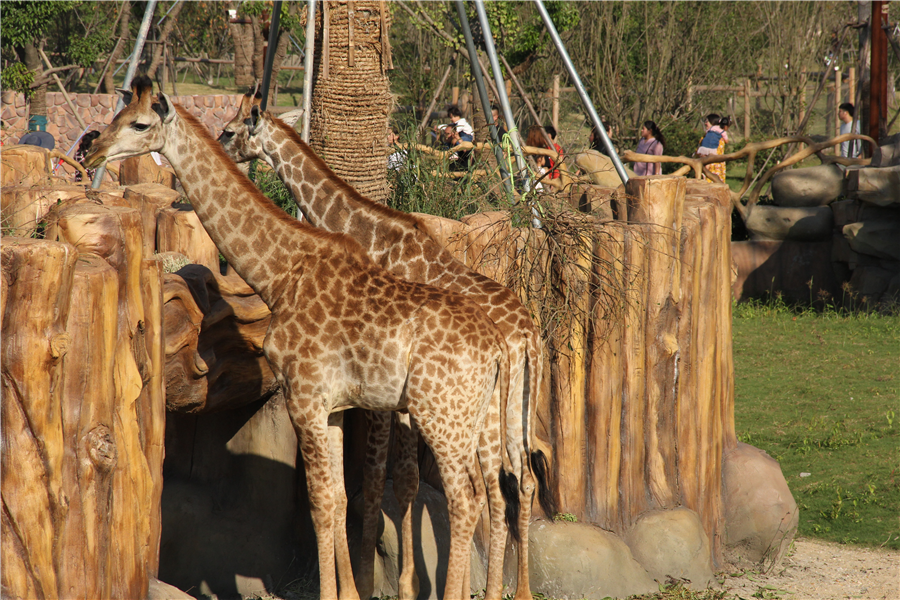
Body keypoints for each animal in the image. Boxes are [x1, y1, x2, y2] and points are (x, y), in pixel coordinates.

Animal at [86, 76, 512, 600]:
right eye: (116, 116)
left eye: (140, 124)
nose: (91, 149)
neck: (278, 272)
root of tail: (497, 348)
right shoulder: (332, 407)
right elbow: (339, 497)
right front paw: (350, 593)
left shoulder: (304, 398)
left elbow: (320, 504)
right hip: (471, 418)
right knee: (487, 493)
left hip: (441, 416)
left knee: (465, 499)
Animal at [220, 90, 556, 600]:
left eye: (229, 131)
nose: (219, 145)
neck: (371, 231)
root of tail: (528, 336)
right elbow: (407, 481)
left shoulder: (383, 392)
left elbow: (381, 477)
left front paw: (368, 579)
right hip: (514, 404)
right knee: (523, 479)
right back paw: (513, 590)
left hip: (479, 410)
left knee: (494, 486)